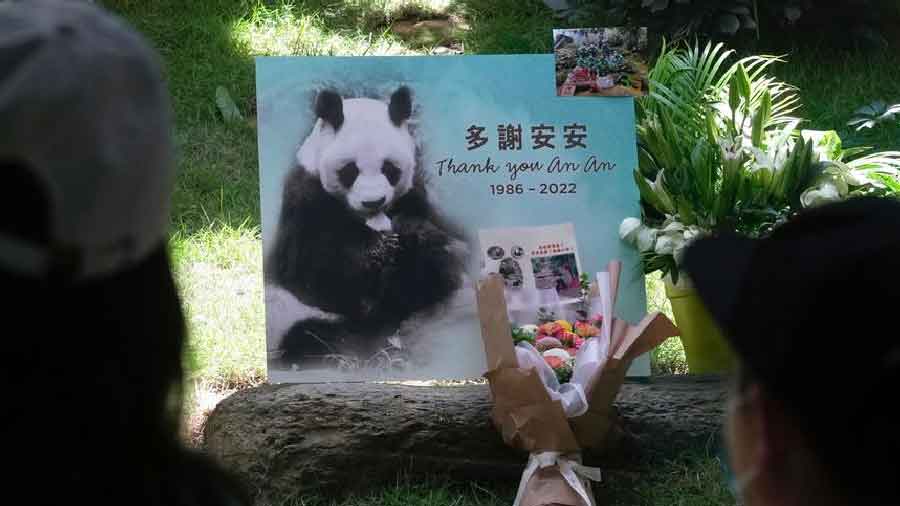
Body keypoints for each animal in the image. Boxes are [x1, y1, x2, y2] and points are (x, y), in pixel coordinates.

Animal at [264, 83, 468, 368]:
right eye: (350, 170)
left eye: (389, 169)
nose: (373, 201)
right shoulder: (304, 199)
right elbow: (312, 272)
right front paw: (378, 249)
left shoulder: (417, 197)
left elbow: (439, 258)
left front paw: (408, 238)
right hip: (289, 314)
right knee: (309, 332)